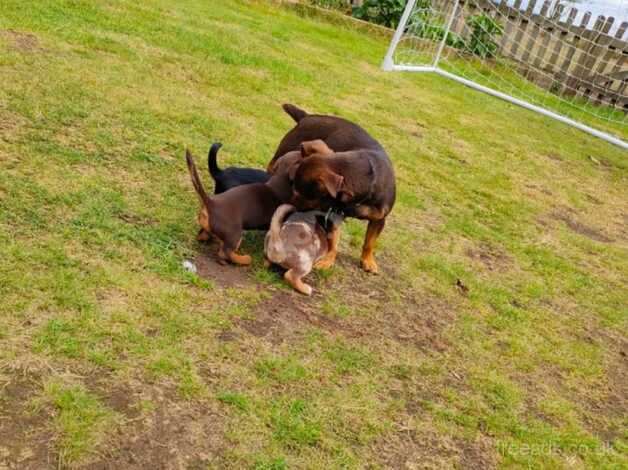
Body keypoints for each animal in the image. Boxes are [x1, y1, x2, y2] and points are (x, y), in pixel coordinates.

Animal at [268, 103, 394, 272]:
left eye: (297, 193)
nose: (286, 207)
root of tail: (307, 116)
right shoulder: (334, 213)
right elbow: (334, 240)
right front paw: (328, 260)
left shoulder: (379, 219)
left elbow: (370, 242)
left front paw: (368, 261)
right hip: (285, 149)